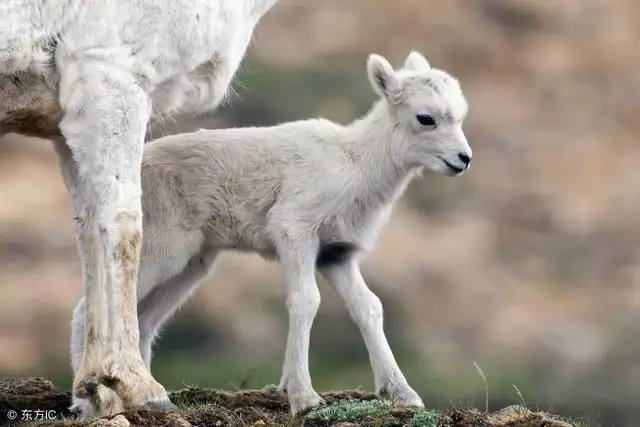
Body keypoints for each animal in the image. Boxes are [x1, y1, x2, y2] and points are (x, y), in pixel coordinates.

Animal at [72, 50, 472, 414]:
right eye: (426, 118)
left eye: (460, 115)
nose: (463, 160)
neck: (355, 165)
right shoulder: (296, 233)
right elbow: (306, 301)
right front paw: (304, 399)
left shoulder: (336, 255)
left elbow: (368, 307)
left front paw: (405, 395)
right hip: (161, 253)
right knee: (88, 311)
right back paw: (93, 403)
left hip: (190, 266)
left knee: (146, 320)